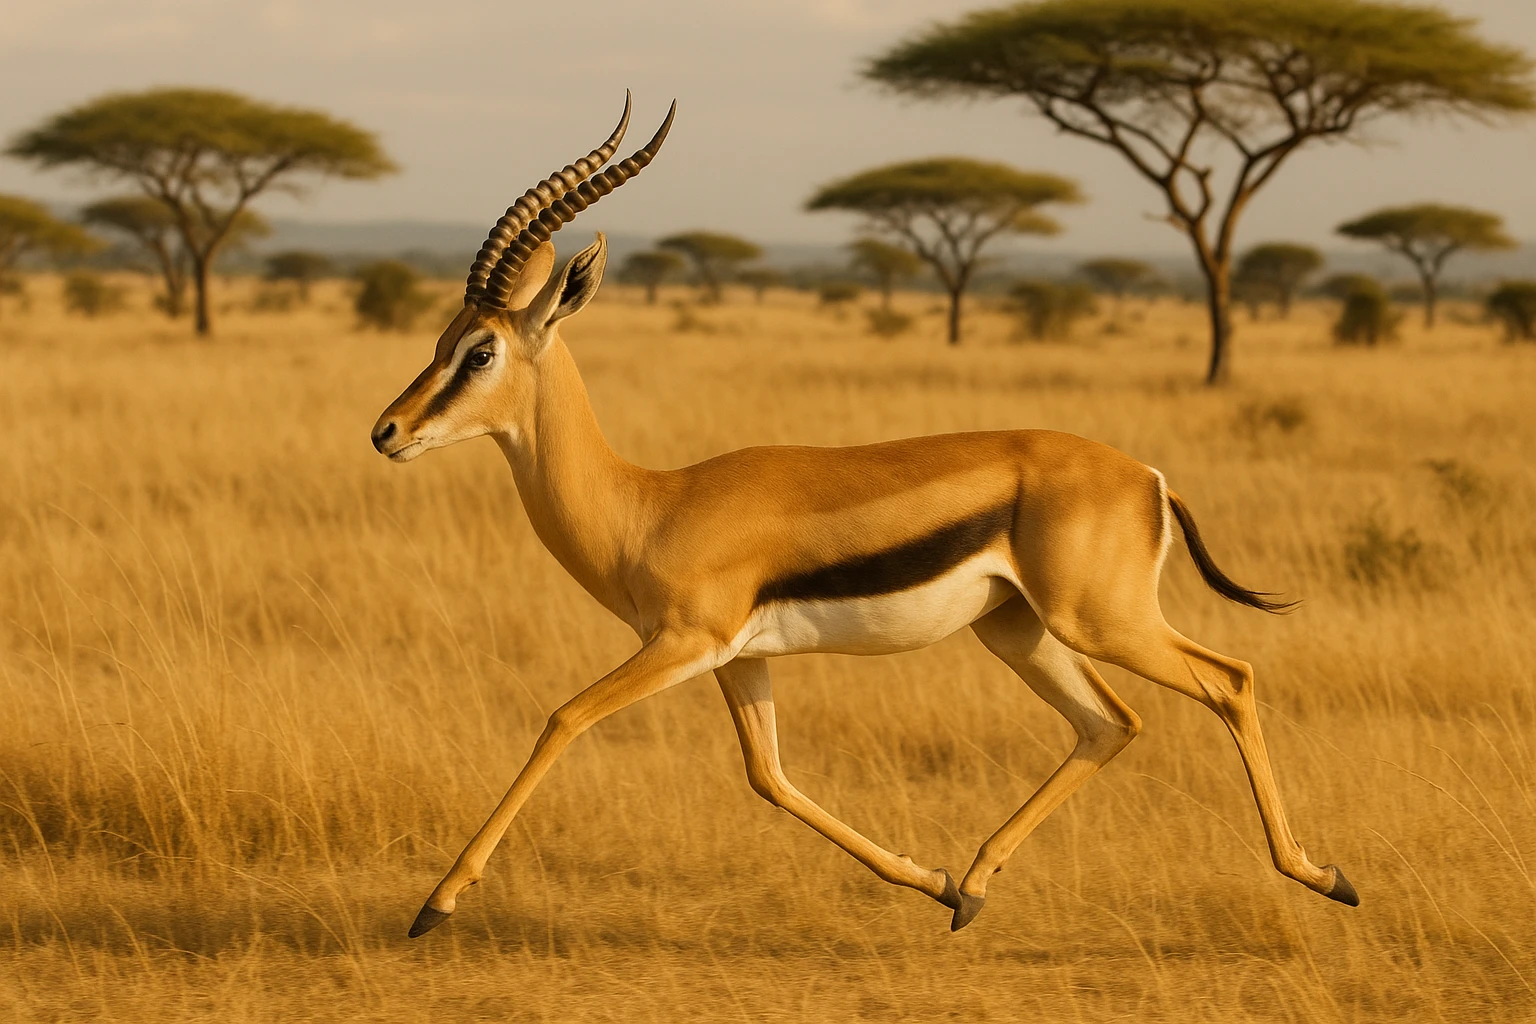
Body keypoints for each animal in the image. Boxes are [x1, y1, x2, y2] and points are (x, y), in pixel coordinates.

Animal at [371, 95, 1359, 939]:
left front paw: (434, 904)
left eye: (479, 350)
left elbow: (565, 717)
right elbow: (770, 777)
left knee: (1230, 680)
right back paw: (974, 888)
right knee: (1111, 723)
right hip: (1018, 629)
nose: (388, 431)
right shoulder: (739, 661)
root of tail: (1149, 476)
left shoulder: (683, 643)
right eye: (440, 339)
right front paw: (930, 882)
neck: (650, 505)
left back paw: (1324, 876)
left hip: (1100, 621)